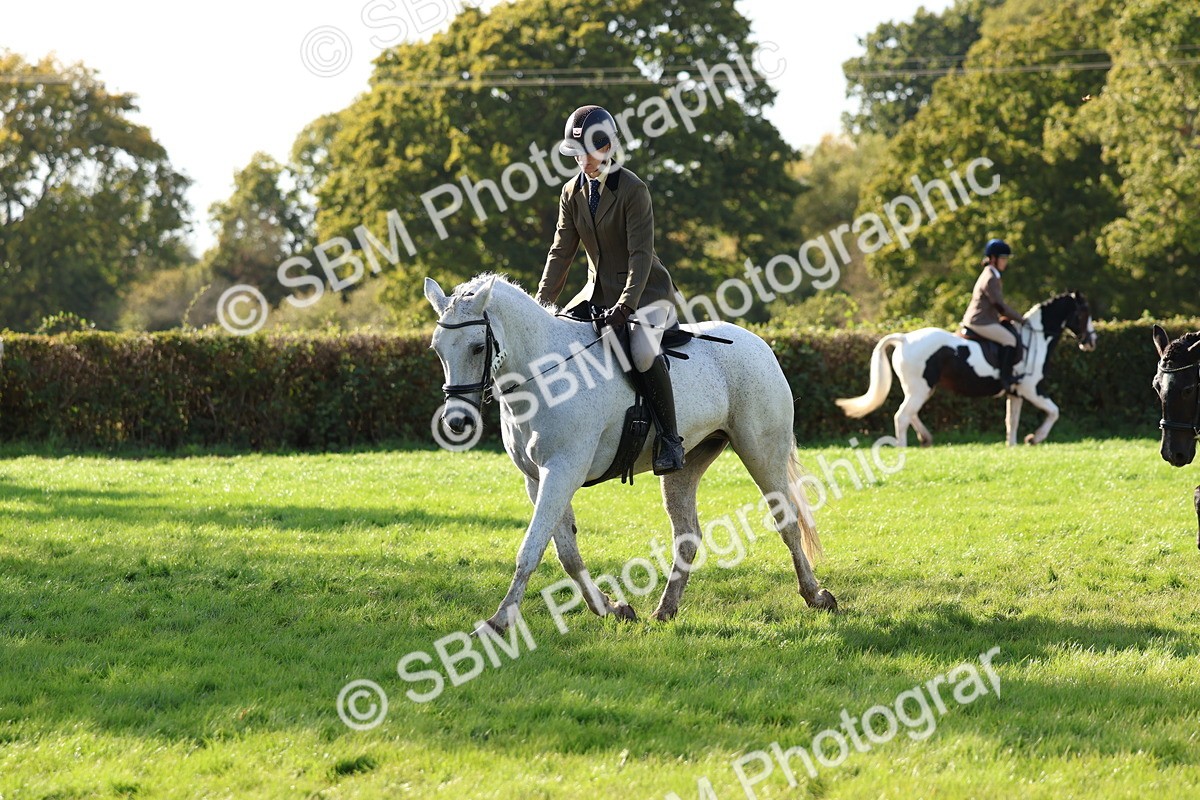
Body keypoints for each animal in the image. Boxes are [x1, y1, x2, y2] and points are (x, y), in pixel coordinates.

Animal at [424, 273, 837, 634]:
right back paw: (666, 610)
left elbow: (531, 549)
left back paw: (816, 596)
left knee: (786, 519)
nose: (457, 421)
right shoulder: (537, 478)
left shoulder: (562, 472)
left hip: (760, 451)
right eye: (437, 349)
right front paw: (612, 608)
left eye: (478, 347)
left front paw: (498, 621)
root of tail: (758, 344)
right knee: (687, 534)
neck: (543, 374)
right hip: (685, 464)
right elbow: (566, 552)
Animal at [836, 292, 1097, 447]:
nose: (1092, 341)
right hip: (920, 389)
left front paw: (1012, 446)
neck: (1035, 340)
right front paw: (1035, 438)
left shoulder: (1016, 393)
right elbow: (1054, 411)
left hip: (920, 389)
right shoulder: (1031, 389)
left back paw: (925, 438)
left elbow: (1011, 422)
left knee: (910, 413)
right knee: (902, 416)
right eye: (1084, 312)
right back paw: (903, 447)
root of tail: (905, 338)